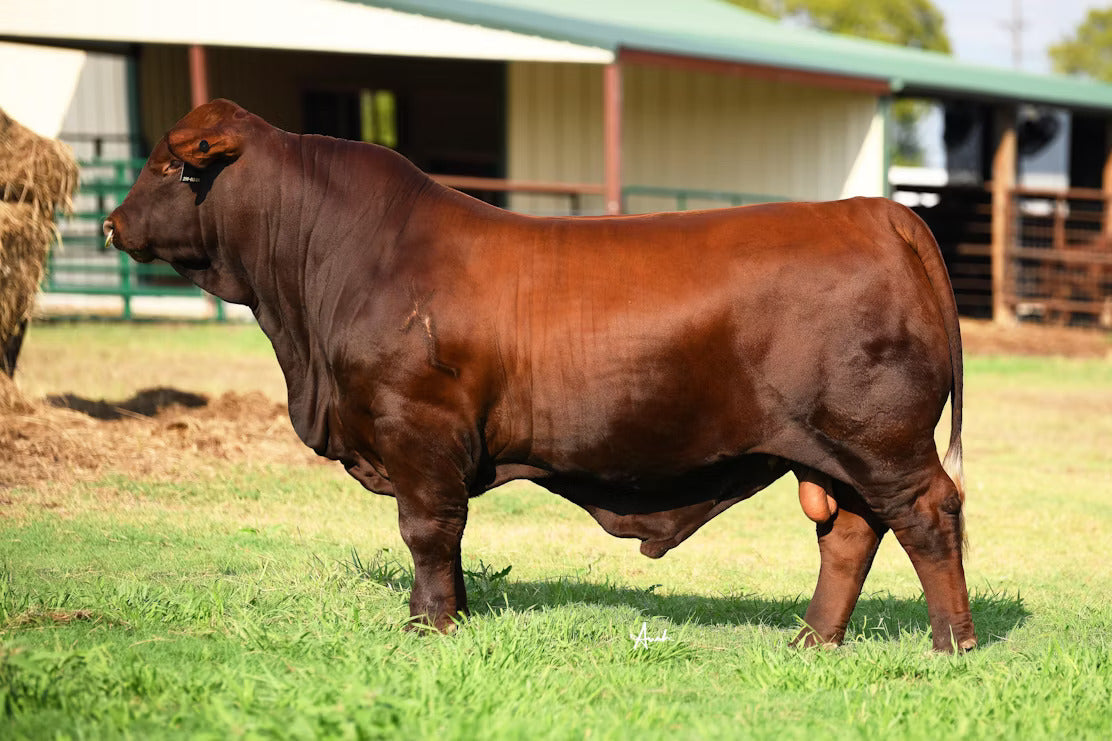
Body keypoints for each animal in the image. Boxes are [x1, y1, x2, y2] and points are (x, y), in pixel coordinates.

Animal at [105, 100, 975, 652]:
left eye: (167, 166)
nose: (111, 223)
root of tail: (874, 210)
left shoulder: (416, 430)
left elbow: (427, 531)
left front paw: (427, 626)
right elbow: (448, 539)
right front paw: (451, 614)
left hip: (883, 438)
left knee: (928, 514)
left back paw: (951, 642)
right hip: (839, 449)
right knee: (851, 532)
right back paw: (812, 638)